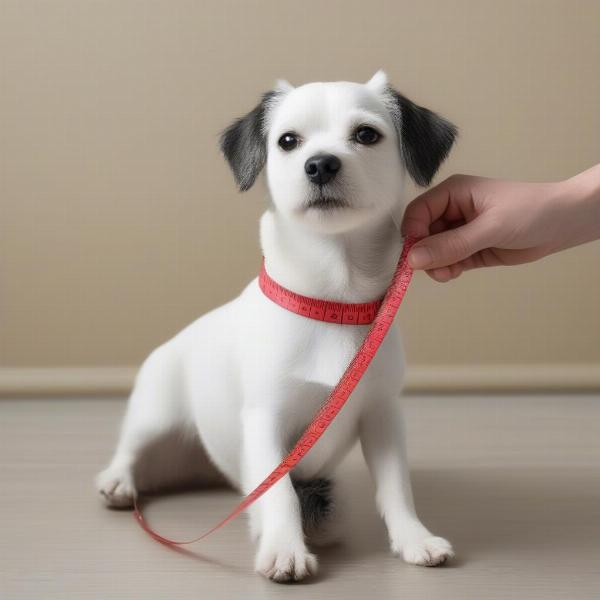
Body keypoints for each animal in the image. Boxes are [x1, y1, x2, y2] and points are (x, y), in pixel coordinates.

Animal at [96, 70, 458, 580]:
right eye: (288, 141)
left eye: (366, 135)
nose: (321, 164)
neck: (330, 303)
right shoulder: (267, 420)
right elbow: (281, 493)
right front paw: (285, 548)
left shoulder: (382, 416)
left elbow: (395, 487)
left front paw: (414, 538)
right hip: (155, 412)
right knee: (131, 448)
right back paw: (118, 480)